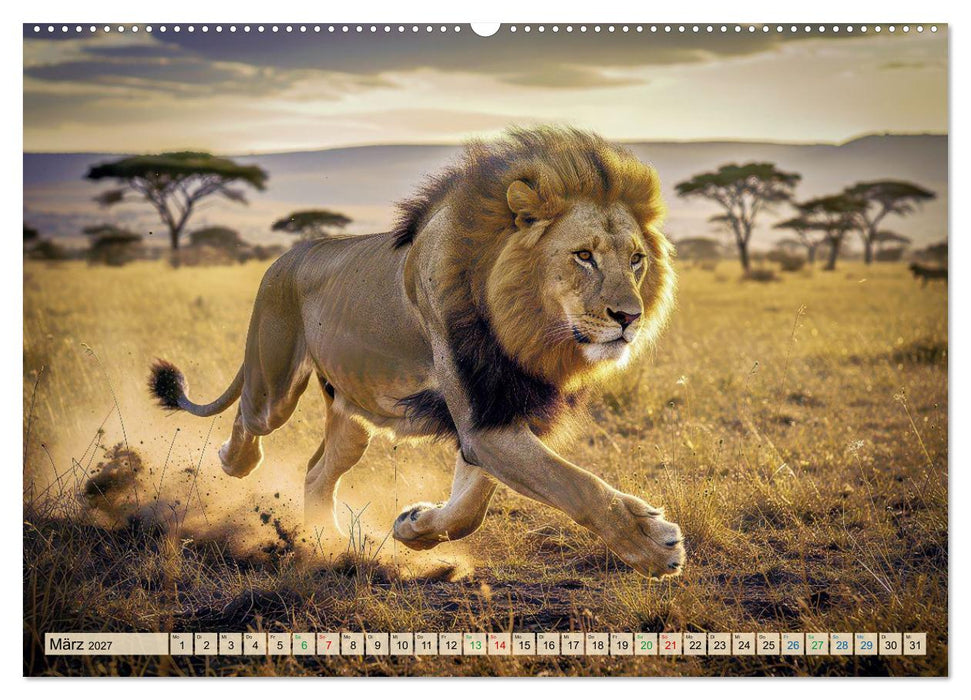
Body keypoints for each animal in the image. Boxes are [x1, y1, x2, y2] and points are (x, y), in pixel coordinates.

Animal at [150, 127, 684, 578]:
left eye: (636, 260)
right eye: (583, 256)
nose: (629, 317)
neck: (527, 332)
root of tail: (285, 256)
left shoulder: (496, 412)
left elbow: (471, 507)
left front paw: (413, 527)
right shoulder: (483, 422)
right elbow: (574, 484)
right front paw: (652, 543)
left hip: (352, 417)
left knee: (317, 473)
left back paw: (331, 545)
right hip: (273, 383)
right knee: (249, 417)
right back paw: (231, 462)